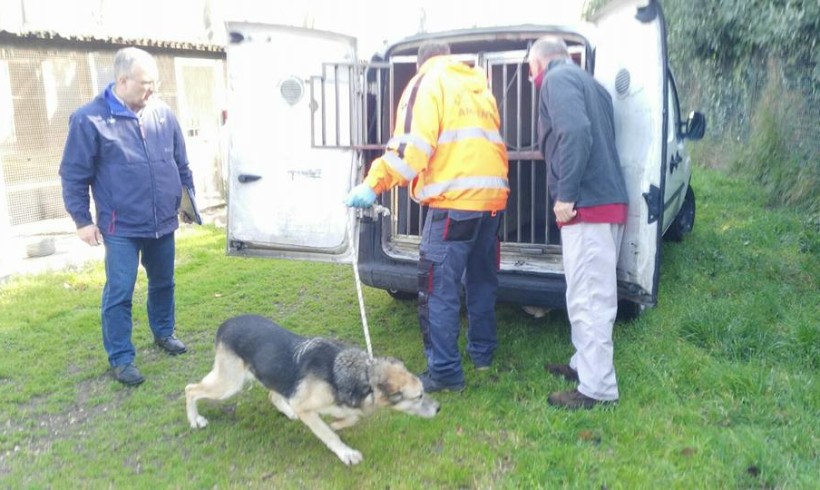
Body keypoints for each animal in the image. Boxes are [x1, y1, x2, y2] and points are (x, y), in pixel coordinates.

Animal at [187, 316, 442, 466]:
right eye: (418, 396)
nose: (439, 408)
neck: (361, 375)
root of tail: (225, 324)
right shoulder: (307, 410)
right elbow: (329, 435)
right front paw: (346, 452)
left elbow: (350, 418)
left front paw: (338, 423)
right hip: (228, 383)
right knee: (191, 389)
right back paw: (195, 420)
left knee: (273, 393)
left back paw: (288, 411)